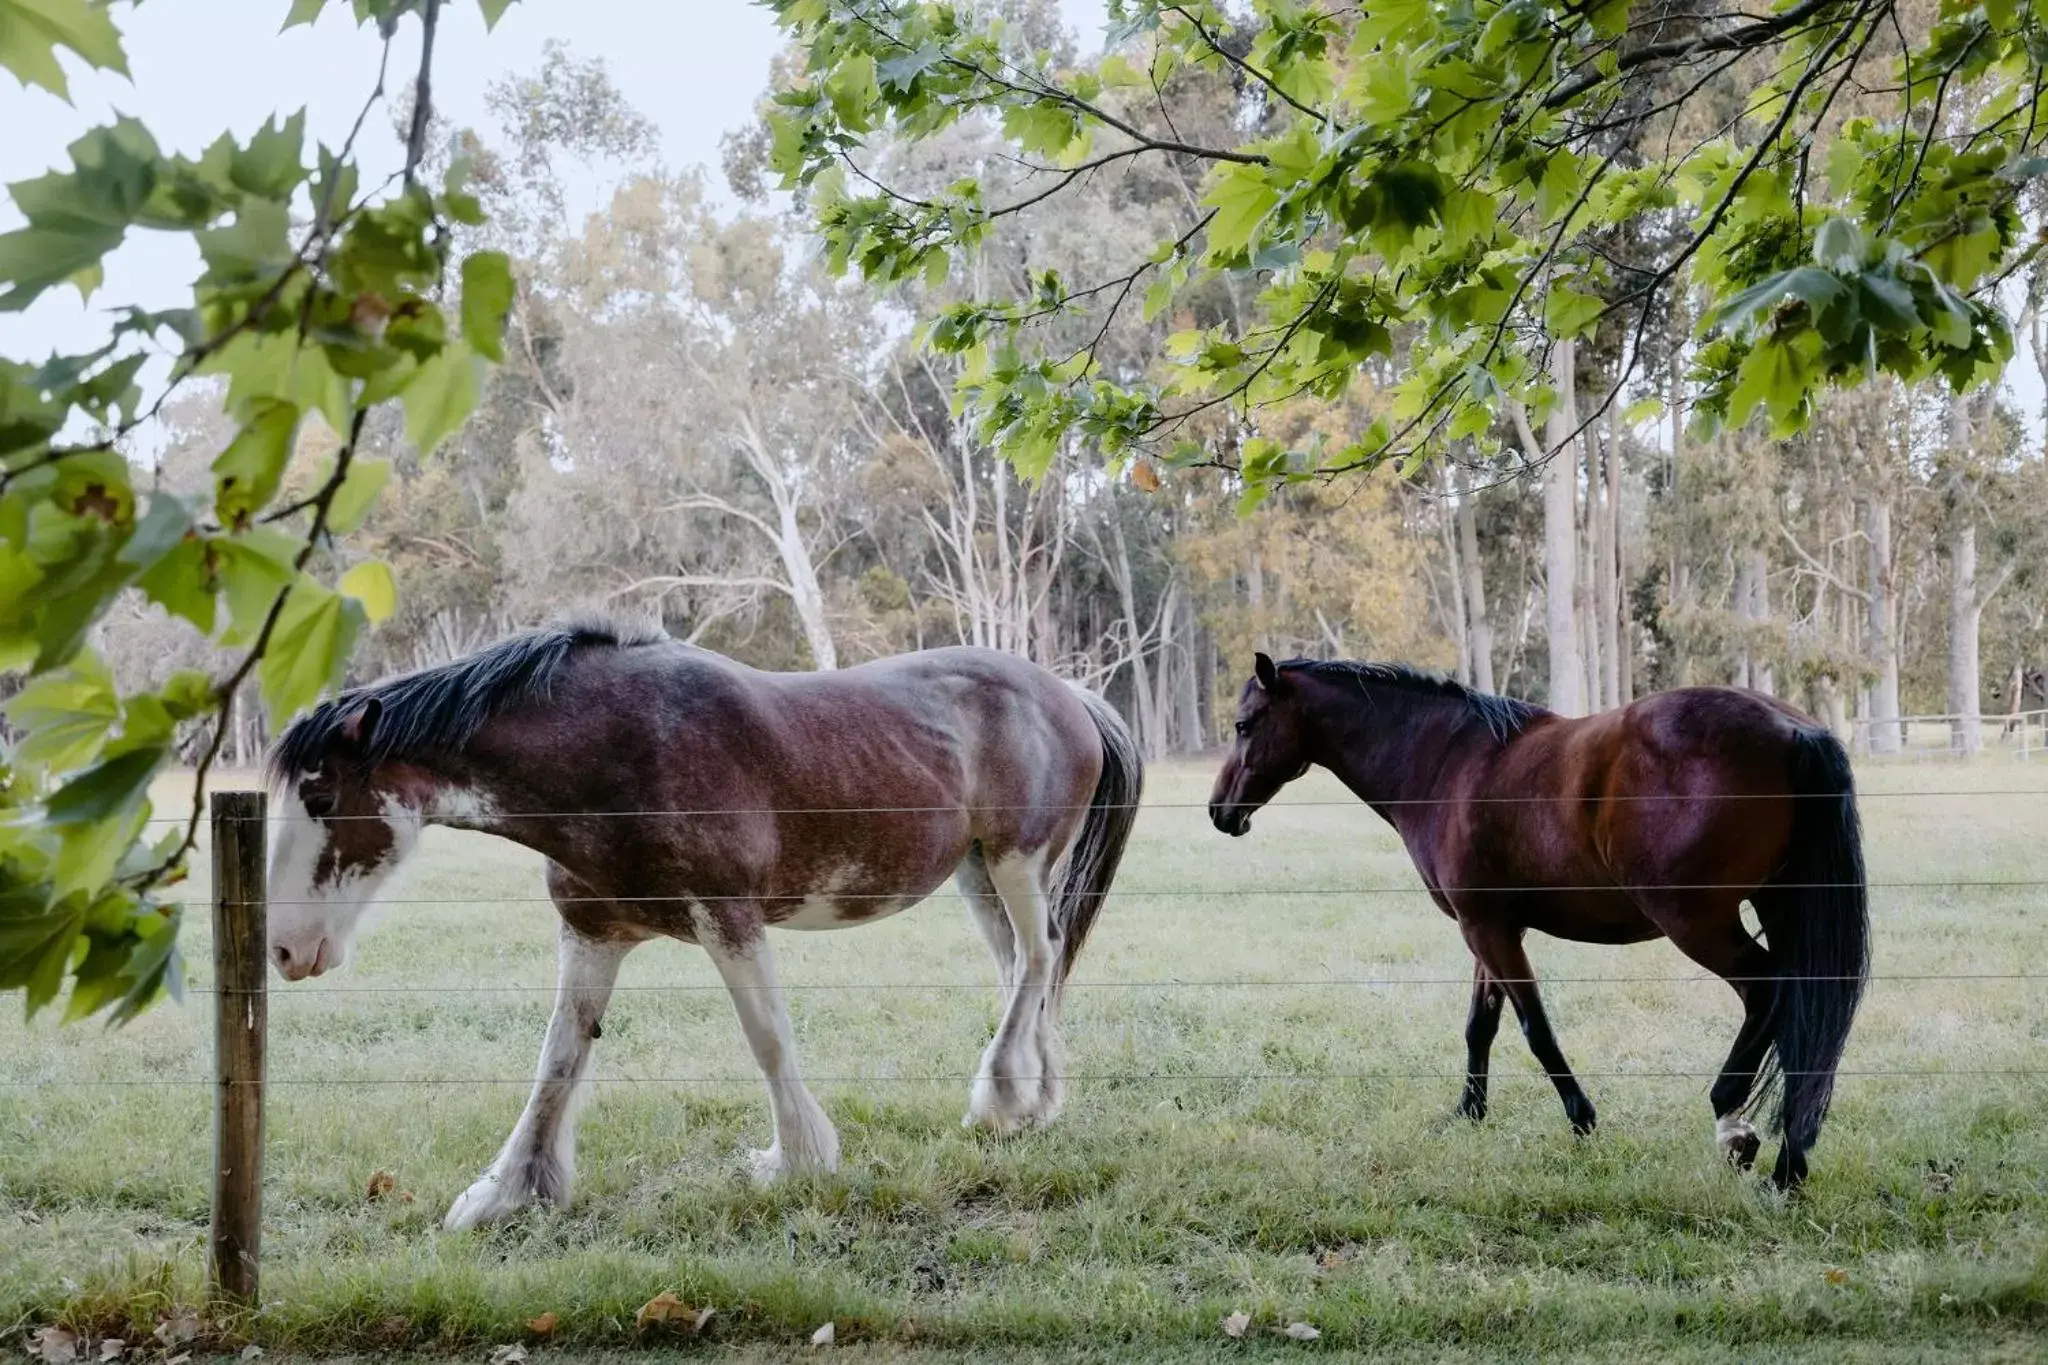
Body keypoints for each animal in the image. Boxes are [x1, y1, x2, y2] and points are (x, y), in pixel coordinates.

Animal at [264, 618, 1146, 1227]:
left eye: (321, 796)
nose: (284, 948)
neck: (616, 751)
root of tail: (1070, 694)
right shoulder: (592, 932)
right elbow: (559, 1058)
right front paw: (510, 1191)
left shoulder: (729, 919)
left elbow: (767, 1038)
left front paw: (798, 1161)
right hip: (978, 873)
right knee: (1024, 970)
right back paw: (1033, 1102)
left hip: (1018, 863)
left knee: (1039, 960)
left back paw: (1000, 1099)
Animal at [1204, 654, 1867, 1186]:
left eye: (1243, 725)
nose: (1219, 812)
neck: (1448, 761)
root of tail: (1793, 729)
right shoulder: (1491, 929)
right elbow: (1481, 1027)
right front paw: (1468, 1114)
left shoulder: (1486, 929)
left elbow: (1535, 1029)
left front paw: (1582, 1119)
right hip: (1775, 908)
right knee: (1801, 1009)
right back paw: (1789, 1165)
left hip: (1698, 924)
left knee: (1767, 990)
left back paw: (1733, 1123)